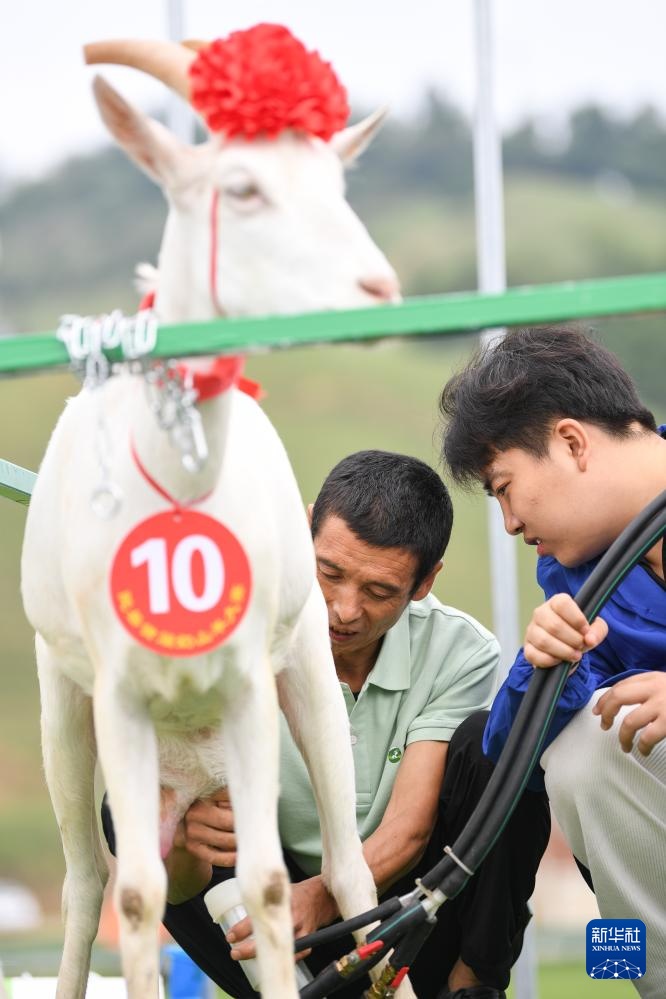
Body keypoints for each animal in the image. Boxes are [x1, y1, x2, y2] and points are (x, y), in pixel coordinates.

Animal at [19, 27, 410, 999]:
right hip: (64, 709)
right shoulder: (113, 689)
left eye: (337, 182)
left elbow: (271, 882)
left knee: (346, 868)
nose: (378, 289)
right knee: (89, 882)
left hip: (303, 667)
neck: (175, 495)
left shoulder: (247, 682)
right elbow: (133, 897)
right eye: (241, 187)